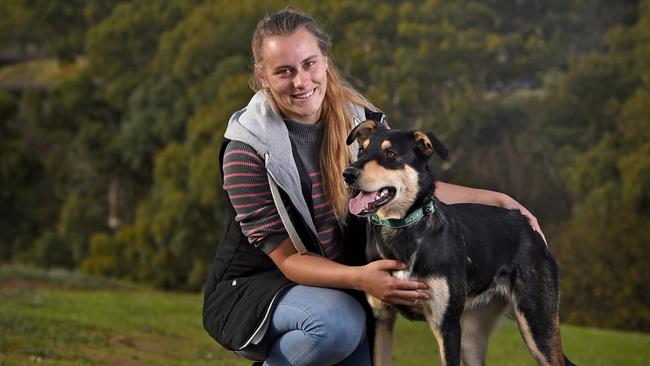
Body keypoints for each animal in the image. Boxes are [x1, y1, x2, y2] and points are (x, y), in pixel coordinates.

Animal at [342, 121, 576, 366]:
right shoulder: (381, 320)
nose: (348, 174)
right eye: (361, 151)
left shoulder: (447, 327)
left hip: (537, 325)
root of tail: (526, 223)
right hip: (472, 338)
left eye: (391, 154)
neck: (402, 227)